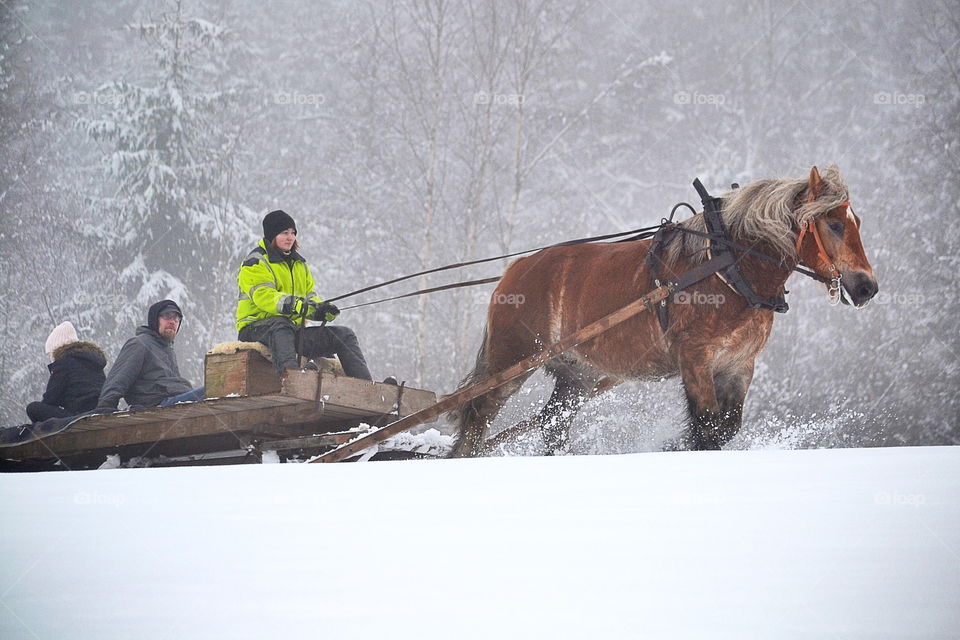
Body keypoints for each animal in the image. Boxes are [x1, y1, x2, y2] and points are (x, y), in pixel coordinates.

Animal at [448, 165, 878, 457]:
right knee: (477, 419)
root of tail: (514, 270)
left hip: (577, 376)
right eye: (834, 224)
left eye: (856, 221)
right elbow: (707, 428)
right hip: (512, 360)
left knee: (553, 425)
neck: (727, 266)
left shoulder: (739, 364)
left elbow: (725, 429)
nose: (866, 287)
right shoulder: (695, 357)